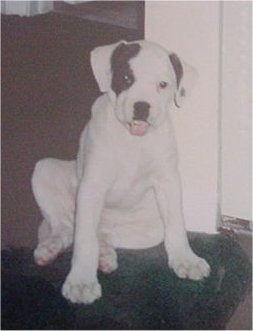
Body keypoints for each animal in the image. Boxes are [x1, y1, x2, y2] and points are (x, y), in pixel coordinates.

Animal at [31, 40, 210, 306]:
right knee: (68, 228)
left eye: (163, 84)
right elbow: (84, 241)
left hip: (149, 232)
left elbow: (177, 225)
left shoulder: (167, 181)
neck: (133, 141)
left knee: (100, 235)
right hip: (44, 170)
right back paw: (51, 248)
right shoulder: (92, 185)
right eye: (126, 78)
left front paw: (186, 259)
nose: (142, 107)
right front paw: (81, 281)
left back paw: (105, 255)